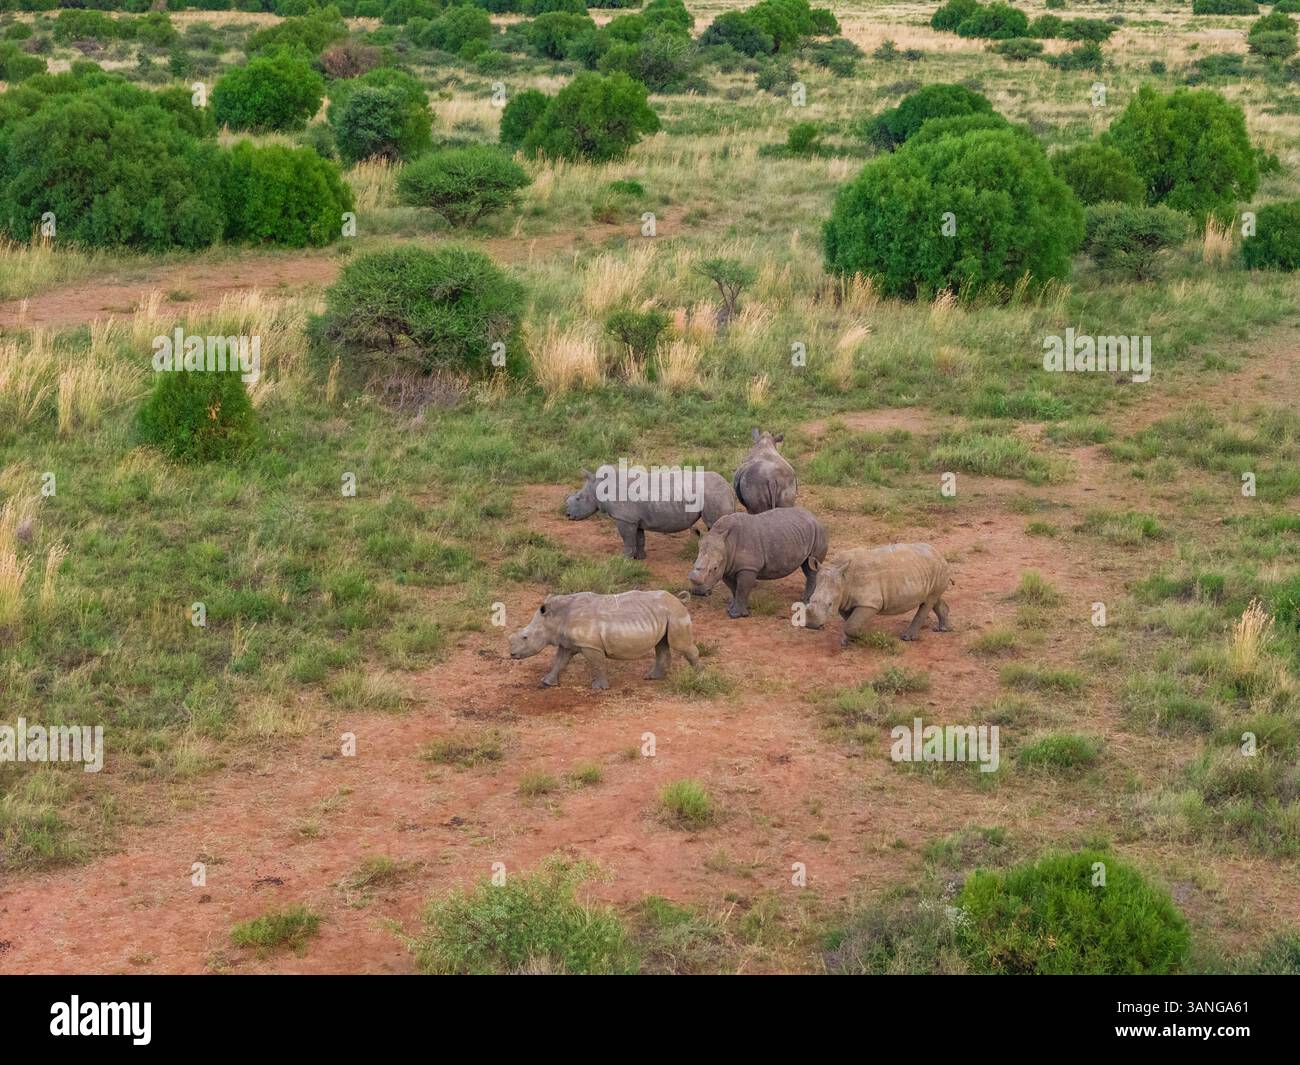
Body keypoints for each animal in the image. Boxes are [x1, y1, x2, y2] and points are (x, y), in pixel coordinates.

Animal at [508, 590, 702, 690]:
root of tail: (678, 599)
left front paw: (599, 688)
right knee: (661, 644)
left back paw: (700, 676)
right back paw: (652, 678)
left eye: (525, 637)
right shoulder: (567, 643)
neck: (555, 617)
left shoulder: (590, 645)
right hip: (663, 614)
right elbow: (559, 661)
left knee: (681, 645)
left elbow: (597, 664)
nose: (512, 654)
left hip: (675, 613)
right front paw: (547, 682)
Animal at [564, 464, 737, 559]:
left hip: (714, 494)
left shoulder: (625, 518)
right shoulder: (635, 519)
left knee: (715, 524)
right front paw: (639, 558)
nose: (567, 515)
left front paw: (623, 559)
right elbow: (639, 538)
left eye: (579, 498)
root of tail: (729, 487)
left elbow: (627, 540)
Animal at [687, 506, 828, 618]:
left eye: (715, 568)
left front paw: (736, 615)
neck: (727, 543)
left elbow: (742, 589)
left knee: (811, 566)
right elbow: (734, 589)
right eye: (694, 563)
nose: (697, 592)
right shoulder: (727, 566)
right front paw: (730, 608)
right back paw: (805, 599)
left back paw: (806, 601)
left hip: (819, 532)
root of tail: (813, 516)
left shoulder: (748, 567)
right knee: (807, 565)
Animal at [803, 543, 952, 647]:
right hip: (928, 570)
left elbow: (850, 624)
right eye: (810, 599)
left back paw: (907, 638)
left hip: (937, 567)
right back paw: (944, 629)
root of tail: (940, 555)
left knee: (928, 602)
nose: (811, 625)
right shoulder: (844, 600)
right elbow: (849, 621)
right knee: (933, 598)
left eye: (829, 604)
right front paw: (849, 641)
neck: (843, 579)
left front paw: (863, 636)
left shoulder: (870, 603)